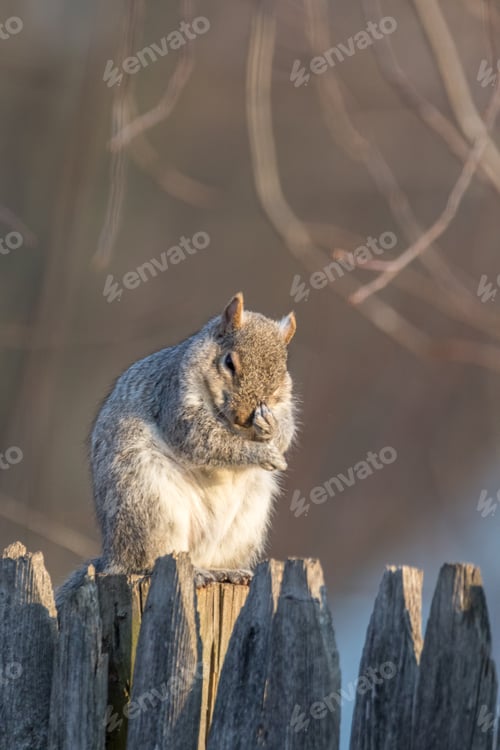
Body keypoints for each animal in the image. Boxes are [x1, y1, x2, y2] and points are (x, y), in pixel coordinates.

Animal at [58, 292, 296, 600]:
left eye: (282, 374)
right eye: (229, 363)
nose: (245, 416)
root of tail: (113, 556)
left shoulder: (285, 404)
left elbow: (287, 430)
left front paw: (273, 429)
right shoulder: (174, 399)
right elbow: (203, 440)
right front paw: (260, 452)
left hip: (246, 523)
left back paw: (224, 571)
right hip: (149, 503)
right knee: (147, 563)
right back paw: (194, 574)